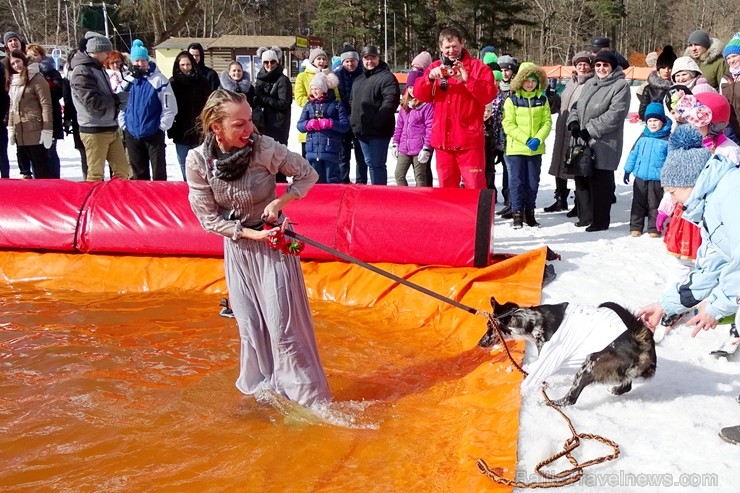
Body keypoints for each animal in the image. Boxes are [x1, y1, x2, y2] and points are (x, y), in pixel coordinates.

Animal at [480, 296, 660, 404]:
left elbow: (528, 381)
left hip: (590, 364)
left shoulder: (548, 360)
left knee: (570, 399)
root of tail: (642, 341)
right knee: (627, 385)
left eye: (490, 326)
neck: (531, 320)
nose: (480, 343)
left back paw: (550, 403)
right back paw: (616, 389)